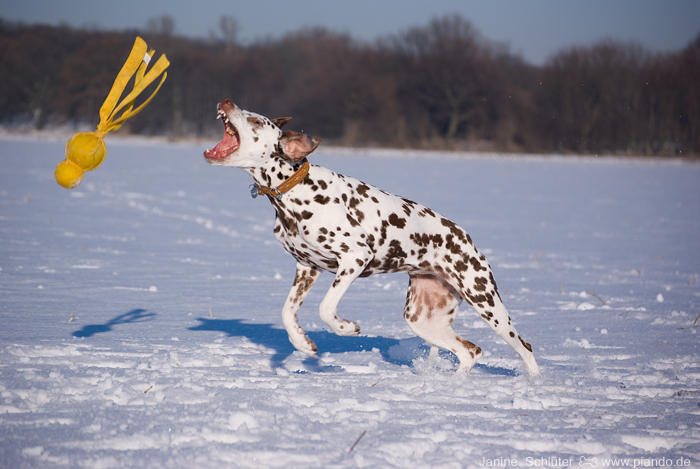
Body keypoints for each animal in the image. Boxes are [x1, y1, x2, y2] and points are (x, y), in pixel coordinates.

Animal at [202, 98, 540, 376]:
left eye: (257, 121)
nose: (226, 100)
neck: (295, 192)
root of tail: (467, 238)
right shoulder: (306, 268)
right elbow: (286, 312)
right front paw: (301, 343)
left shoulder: (354, 259)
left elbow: (326, 308)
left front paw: (346, 328)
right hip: (422, 320)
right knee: (470, 352)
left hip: (487, 304)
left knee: (525, 349)